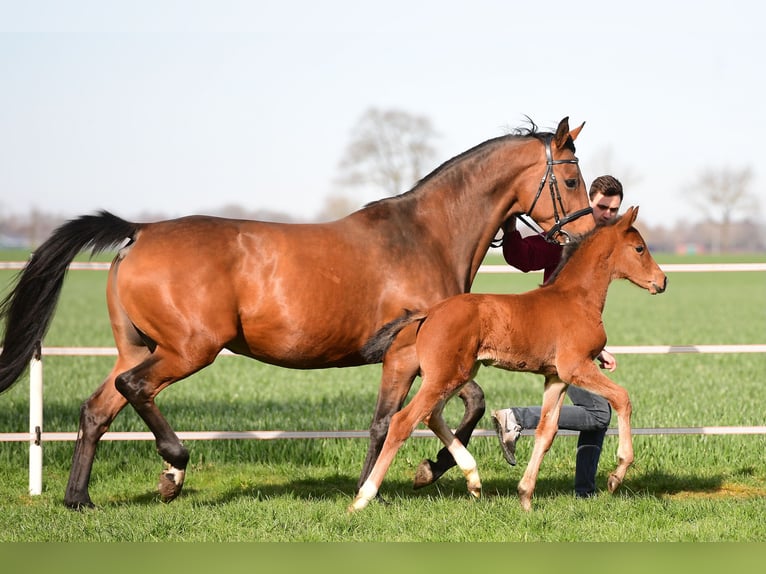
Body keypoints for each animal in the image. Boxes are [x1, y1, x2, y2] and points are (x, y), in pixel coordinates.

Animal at [0, 116, 592, 508]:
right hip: (189, 349)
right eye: (569, 180)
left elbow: (418, 415)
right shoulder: (412, 352)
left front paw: (402, 479)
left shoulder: (424, 356)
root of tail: (139, 231)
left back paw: (79, 499)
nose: (586, 234)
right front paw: (410, 477)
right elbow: (422, 414)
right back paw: (174, 468)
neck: (425, 235)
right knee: (135, 389)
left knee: (96, 410)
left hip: (138, 347)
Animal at [352, 207, 668, 512]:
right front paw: (617, 474)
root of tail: (430, 312)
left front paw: (526, 496)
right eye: (639, 248)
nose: (662, 281)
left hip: (457, 374)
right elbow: (622, 398)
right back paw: (363, 498)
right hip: (444, 375)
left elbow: (546, 431)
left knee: (431, 415)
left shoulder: (556, 378)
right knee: (403, 421)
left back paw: (471, 479)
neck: (577, 299)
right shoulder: (576, 367)